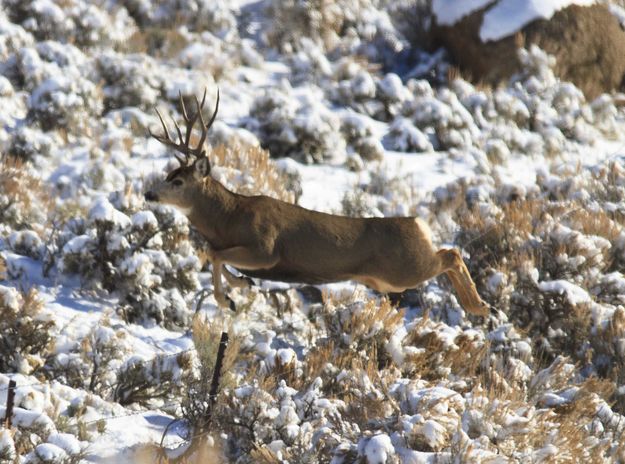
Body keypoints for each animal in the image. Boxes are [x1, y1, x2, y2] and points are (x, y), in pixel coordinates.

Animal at [144, 90, 490, 316]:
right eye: (168, 173)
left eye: (178, 181)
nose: (149, 194)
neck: (228, 218)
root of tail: (418, 223)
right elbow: (211, 253)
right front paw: (242, 284)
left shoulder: (265, 248)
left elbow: (214, 254)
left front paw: (227, 298)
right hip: (392, 278)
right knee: (449, 253)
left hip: (404, 269)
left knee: (451, 254)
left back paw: (479, 306)